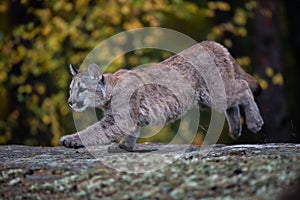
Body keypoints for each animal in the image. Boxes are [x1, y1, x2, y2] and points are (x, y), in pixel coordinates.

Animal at [59, 40, 264, 150]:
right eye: (70, 89)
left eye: (81, 89)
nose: (69, 102)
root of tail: (213, 43)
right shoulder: (128, 117)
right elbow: (131, 131)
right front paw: (125, 145)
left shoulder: (120, 118)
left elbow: (93, 130)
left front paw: (71, 139)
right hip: (207, 98)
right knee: (233, 100)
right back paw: (236, 129)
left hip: (212, 93)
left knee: (244, 87)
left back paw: (255, 122)